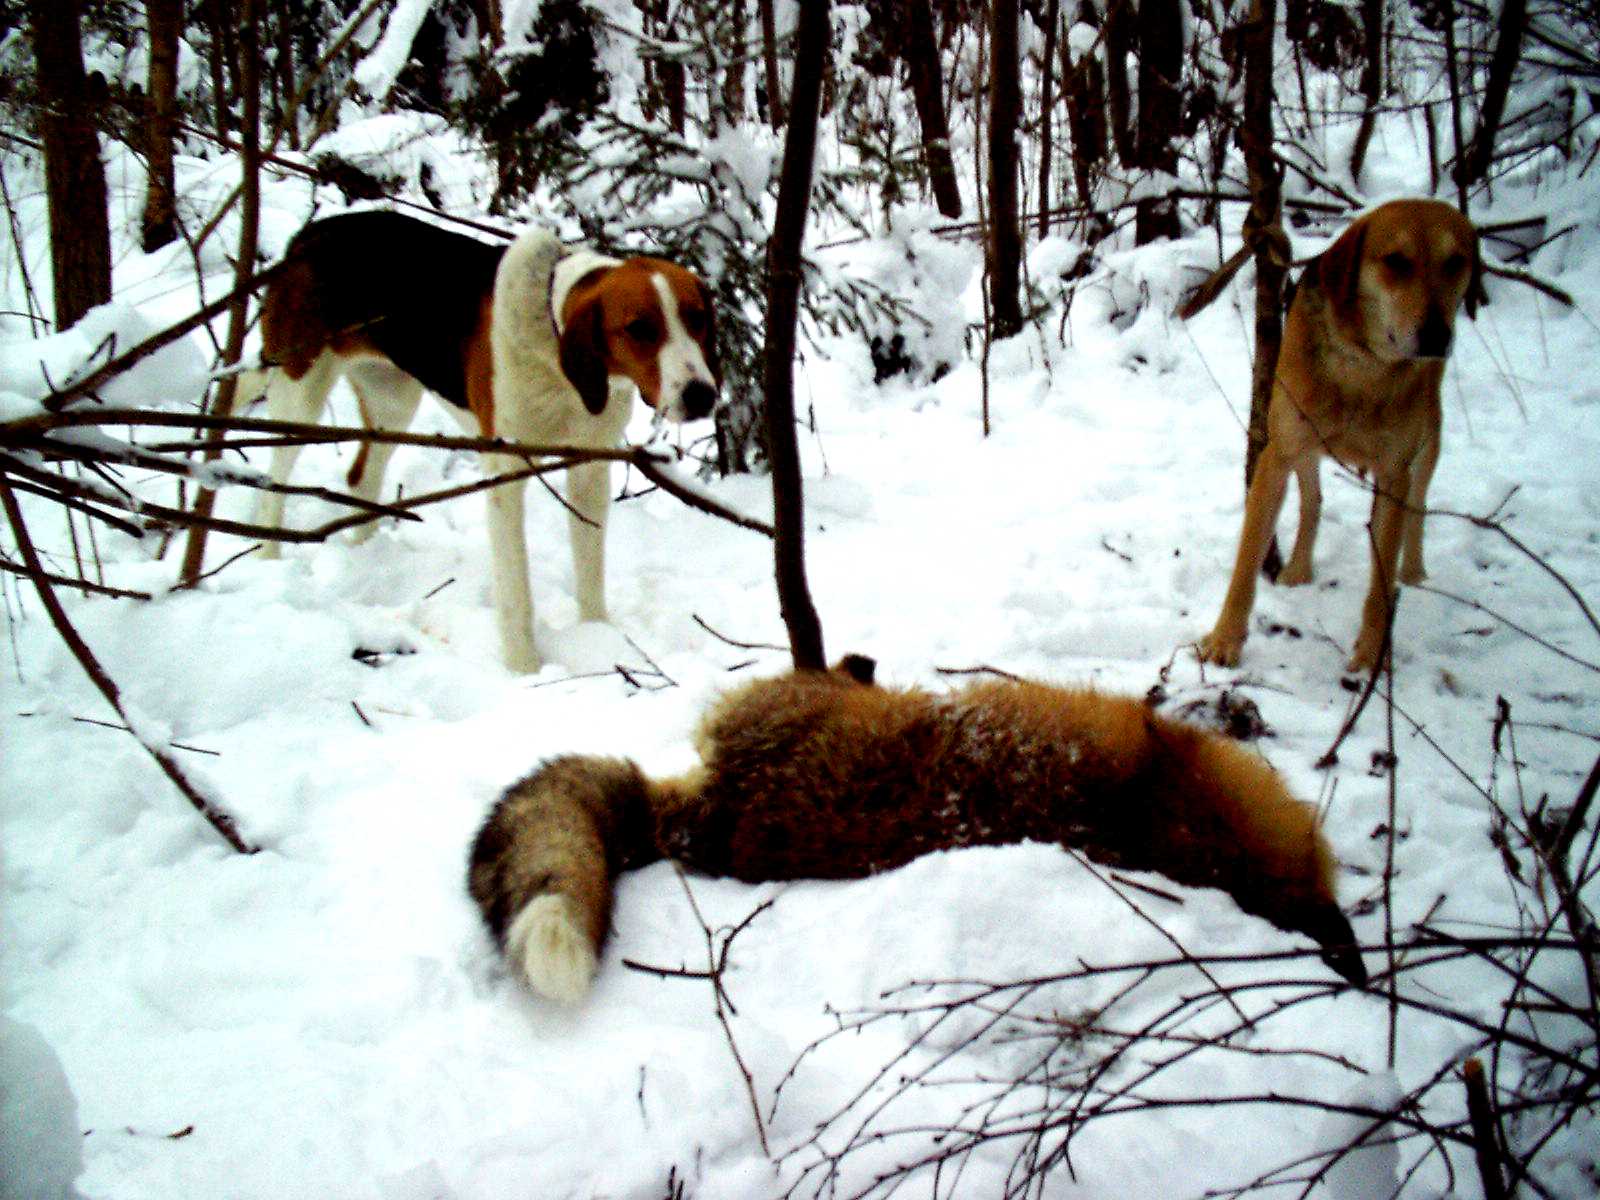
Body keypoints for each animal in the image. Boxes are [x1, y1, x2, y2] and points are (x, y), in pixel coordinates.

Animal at [254, 209, 720, 672]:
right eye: (639, 328)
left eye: (697, 318)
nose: (702, 395)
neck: (552, 348)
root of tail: (311, 232)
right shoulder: (505, 473)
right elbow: (516, 589)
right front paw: (523, 669)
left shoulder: (589, 469)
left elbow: (590, 573)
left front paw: (599, 639)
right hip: (300, 394)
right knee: (272, 485)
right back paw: (269, 558)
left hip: (392, 402)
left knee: (361, 477)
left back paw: (367, 555)